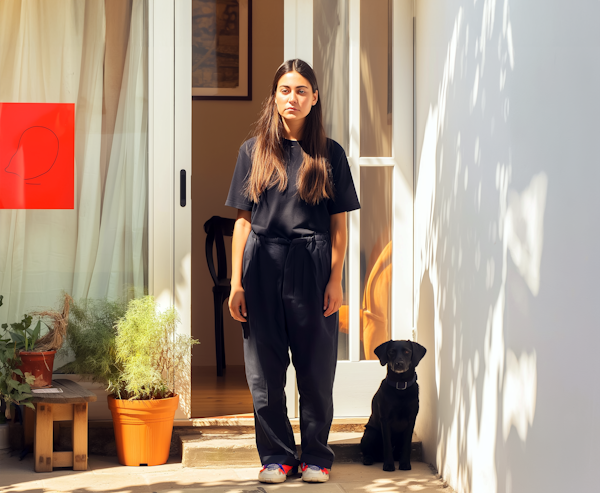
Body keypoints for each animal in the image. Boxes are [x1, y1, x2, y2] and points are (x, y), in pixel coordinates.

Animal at [360, 340, 426, 470]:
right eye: (391, 352)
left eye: (407, 351)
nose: (399, 364)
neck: (400, 386)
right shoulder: (385, 420)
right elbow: (387, 444)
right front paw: (389, 465)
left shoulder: (411, 420)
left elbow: (407, 445)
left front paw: (405, 464)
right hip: (370, 433)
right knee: (367, 451)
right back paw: (368, 459)